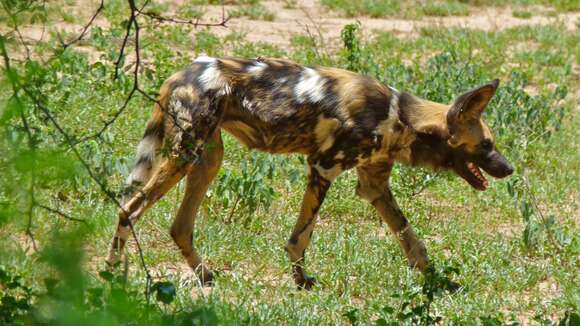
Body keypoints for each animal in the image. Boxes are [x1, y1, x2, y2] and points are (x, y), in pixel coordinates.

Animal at [106, 56, 516, 288]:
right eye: (486, 145)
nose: (509, 169)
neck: (401, 118)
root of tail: (177, 75)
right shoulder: (323, 168)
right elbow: (300, 238)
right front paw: (301, 281)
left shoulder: (374, 185)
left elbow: (413, 242)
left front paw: (437, 281)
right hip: (185, 157)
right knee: (128, 209)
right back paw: (112, 274)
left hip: (207, 161)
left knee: (179, 226)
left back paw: (205, 276)